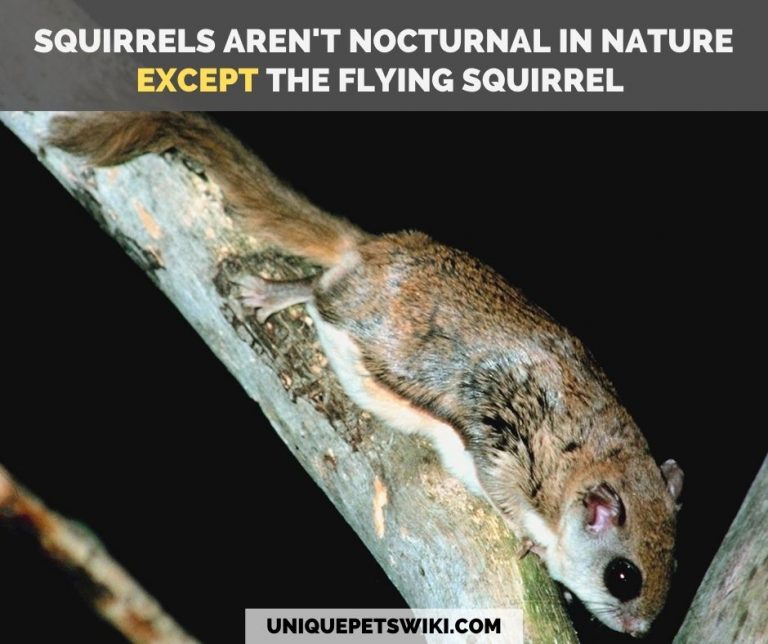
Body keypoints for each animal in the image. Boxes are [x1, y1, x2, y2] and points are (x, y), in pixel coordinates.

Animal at [49, 112, 683, 637]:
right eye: (623, 577)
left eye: (672, 565)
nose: (638, 630)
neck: (593, 456)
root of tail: (371, 248)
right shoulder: (503, 438)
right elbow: (505, 495)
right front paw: (533, 544)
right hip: (356, 316)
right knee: (320, 292)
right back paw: (279, 292)